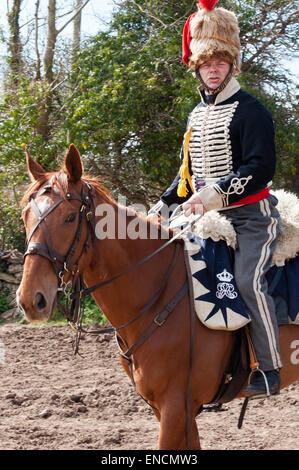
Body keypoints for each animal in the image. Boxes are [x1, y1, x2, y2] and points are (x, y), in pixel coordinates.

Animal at [17, 145, 299, 450]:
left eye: (70, 217)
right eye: (25, 216)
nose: (31, 300)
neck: (159, 292)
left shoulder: (175, 407)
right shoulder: (172, 410)